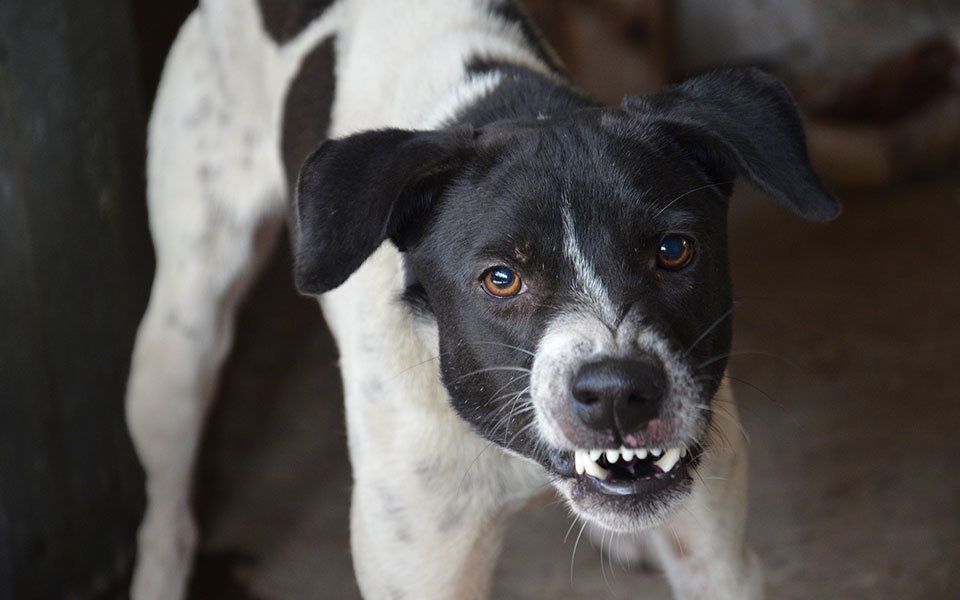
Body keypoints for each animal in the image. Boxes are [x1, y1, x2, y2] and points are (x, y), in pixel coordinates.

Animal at [124, 1, 836, 600]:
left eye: (673, 249)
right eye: (500, 278)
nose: (617, 392)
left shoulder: (719, 561)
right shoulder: (422, 569)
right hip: (180, 340)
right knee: (166, 512)